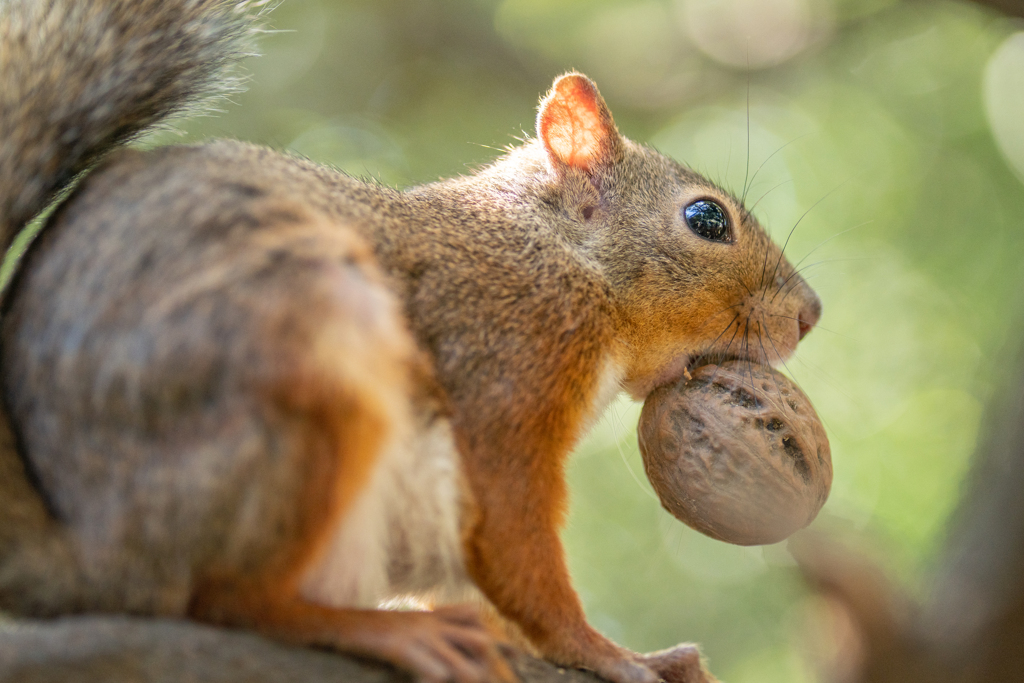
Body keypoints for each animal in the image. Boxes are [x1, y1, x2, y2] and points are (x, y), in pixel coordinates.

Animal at [0, 1, 819, 683]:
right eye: (706, 219)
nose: (810, 313)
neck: (559, 257)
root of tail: (95, 553)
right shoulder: (504, 373)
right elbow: (518, 546)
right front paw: (605, 652)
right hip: (309, 366)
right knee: (226, 600)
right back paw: (379, 632)